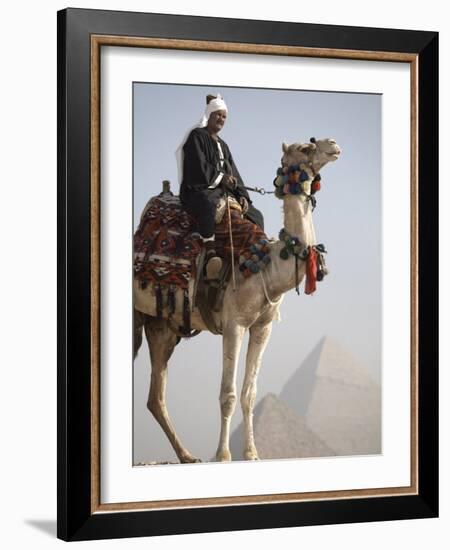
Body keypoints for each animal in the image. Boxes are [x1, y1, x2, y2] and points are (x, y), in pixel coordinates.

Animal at [134, 136, 342, 464]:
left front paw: (252, 453)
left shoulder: (262, 327)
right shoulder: (234, 324)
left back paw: (187, 455)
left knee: (156, 396)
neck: (265, 265)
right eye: (306, 147)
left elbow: (249, 393)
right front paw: (223, 455)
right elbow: (228, 394)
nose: (333, 144)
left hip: (161, 326)